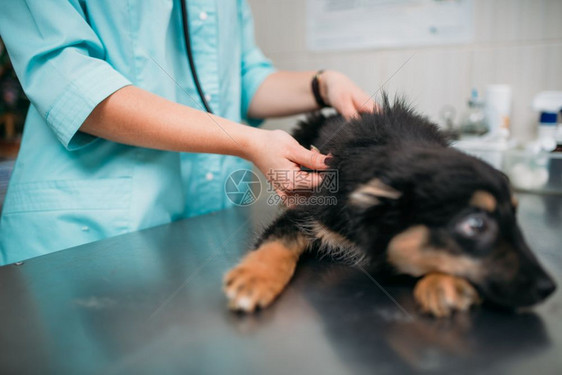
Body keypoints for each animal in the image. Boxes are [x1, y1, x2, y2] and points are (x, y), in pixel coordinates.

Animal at [223, 97, 556, 318]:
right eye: (476, 225)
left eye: (515, 217)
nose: (549, 288)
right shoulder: (311, 211)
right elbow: (279, 240)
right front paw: (254, 278)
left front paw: (444, 282)